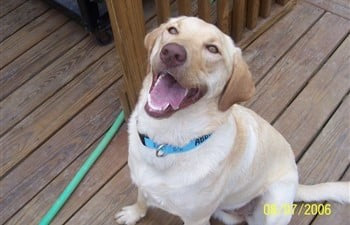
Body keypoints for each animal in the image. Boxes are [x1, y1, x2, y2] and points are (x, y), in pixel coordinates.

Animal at [115, 16, 350, 225]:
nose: (172, 52)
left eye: (212, 49)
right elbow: (141, 199)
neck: (165, 142)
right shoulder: (142, 183)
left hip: (274, 202)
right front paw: (133, 214)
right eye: (172, 30)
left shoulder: (196, 219)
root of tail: (296, 185)